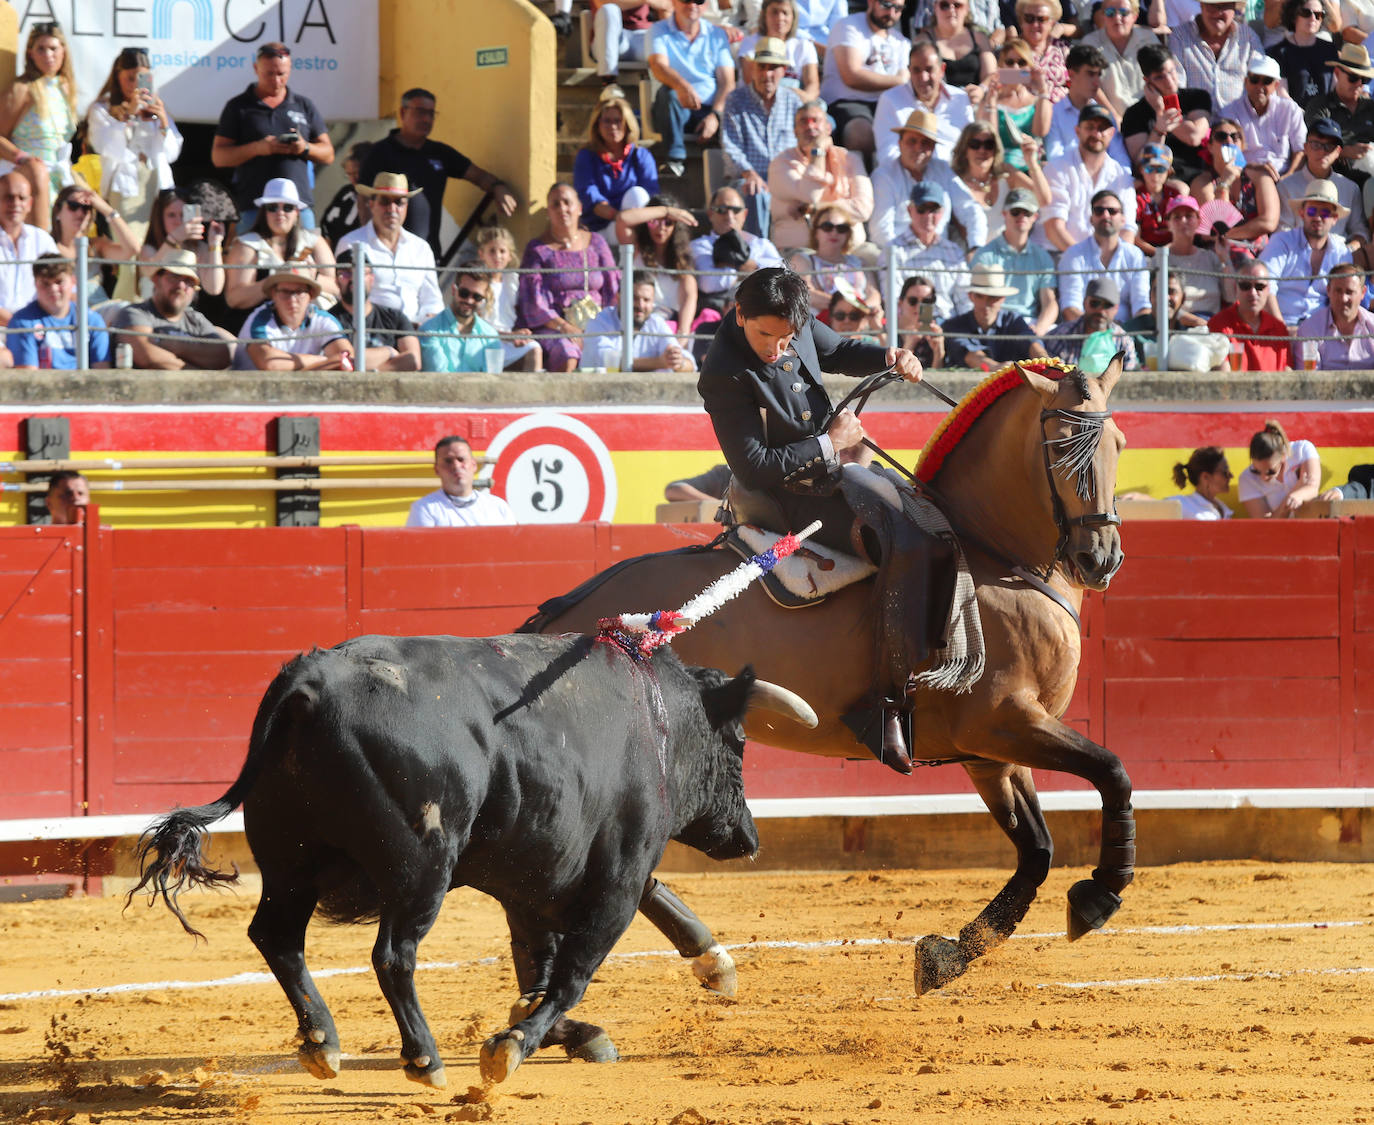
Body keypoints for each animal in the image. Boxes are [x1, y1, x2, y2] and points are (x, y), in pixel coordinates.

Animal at [129, 634, 813, 1082]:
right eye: (740, 741)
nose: (748, 838)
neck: (659, 718)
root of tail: (308, 684)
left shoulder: (532, 879)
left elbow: (538, 967)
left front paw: (563, 1033)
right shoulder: (617, 877)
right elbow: (573, 971)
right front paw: (511, 1046)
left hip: (289, 862)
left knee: (277, 937)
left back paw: (323, 1043)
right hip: (421, 869)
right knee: (393, 955)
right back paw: (423, 1057)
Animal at [519, 357, 1132, 989]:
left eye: (1117, 443)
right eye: (1059, 449)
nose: (1100, 558)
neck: (998, 557)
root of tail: (563, 617)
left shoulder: (991, 752)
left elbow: (1037, 849)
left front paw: (946, 957)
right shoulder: (1003, 721)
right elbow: (1112, 770)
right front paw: (1099, 896)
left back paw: (703, 954)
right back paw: (700, 955)